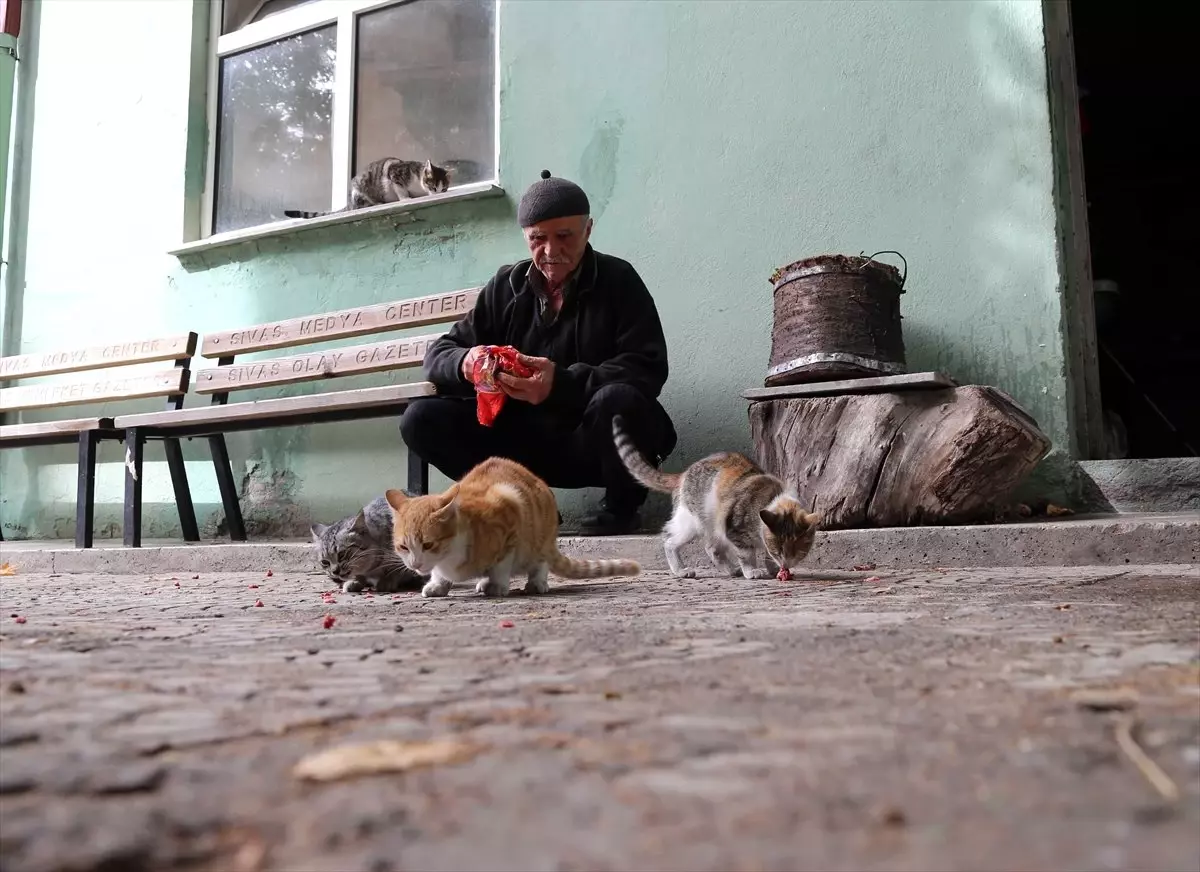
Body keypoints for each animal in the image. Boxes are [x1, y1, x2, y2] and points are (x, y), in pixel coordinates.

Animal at [283, 160, 451, 221]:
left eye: (443, 189)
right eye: (433, 186)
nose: (436, 193)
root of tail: (349, 201)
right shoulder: (394, 172)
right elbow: (400, 188)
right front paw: (406, 199)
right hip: (361, 190)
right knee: (362, 204)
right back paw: (377, 203)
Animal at [388, 458, 643, 599]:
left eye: (428, 544)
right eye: (403, 547)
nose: (415, 564)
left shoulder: (509, 513)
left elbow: (502, 564)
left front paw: (498, 585)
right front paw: (438, 584)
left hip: (540, 534)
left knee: (540, 561)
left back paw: (535, 582)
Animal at [614, 415, 820, 580]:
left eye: (798, 552)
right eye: (779, 550)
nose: (785, 565)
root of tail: (683, 474)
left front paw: (773, 568)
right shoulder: (735, 530)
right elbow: (747, 555)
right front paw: (752, 571)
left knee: (711, 548)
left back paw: (731, 570)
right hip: (693, 522)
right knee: (670, 540)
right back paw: (681, 570)